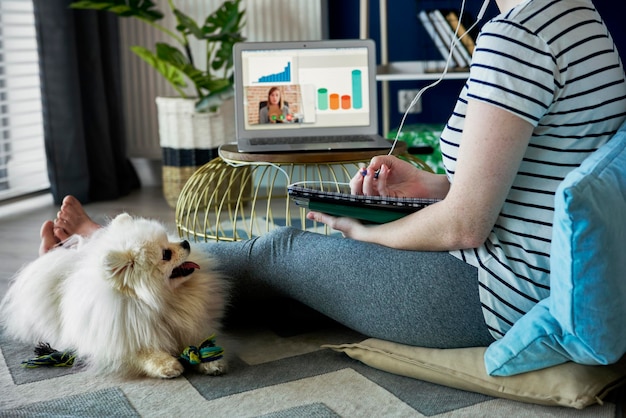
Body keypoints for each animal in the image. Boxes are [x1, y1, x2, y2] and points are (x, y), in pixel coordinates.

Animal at [0, 212, 229, 378]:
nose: (185, 243)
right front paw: (167, 365)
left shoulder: (188, 324)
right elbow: (142, 352)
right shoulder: (118, 341)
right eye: (166, 254)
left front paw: (210, 361)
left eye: (168, 239)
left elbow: (199, 340)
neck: (157, 302)